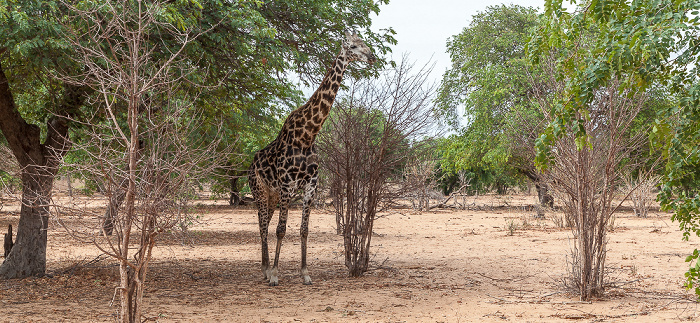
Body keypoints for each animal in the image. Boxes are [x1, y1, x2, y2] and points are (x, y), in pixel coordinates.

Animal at [247, 32, 374, 286]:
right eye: (354, 46)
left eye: (365, 43)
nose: (372, 57)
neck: (307, 135)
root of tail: (250, 164)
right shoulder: (287, 184)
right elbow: (281, 229)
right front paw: (275, 274)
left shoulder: (311, 184)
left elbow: (304, 230)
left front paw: (305, 273)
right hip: (260, 191)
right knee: (263, 226)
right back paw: (265, 270)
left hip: (271, 195)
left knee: (264, 223)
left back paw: (265, 268)